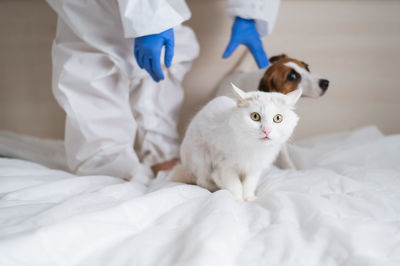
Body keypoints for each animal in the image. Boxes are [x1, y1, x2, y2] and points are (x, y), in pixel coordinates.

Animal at [172, 84, 300, 201]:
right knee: (203, 181)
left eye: (278, 118)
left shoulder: (255, 168)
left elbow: (249, 185)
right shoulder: (225, 164)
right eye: (255, 116)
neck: (254, 147)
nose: (266, 130)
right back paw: (217, 184)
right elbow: (235, 185)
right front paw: (238, 200)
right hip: (200, 157)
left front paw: (249, 198)